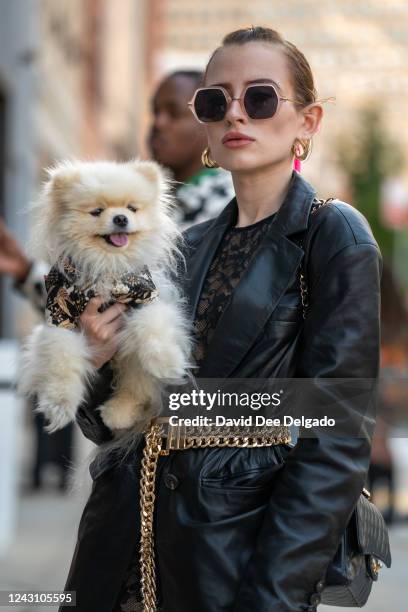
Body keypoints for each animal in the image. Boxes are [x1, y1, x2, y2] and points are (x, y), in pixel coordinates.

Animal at [21, 159, 194, 436]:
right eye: (97, 211)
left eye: (132, 208)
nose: (120, 218)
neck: (108, 267)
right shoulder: (61, 320)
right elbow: (61, 364)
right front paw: (59, 406)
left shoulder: (146, 299)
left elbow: (154, 331)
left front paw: (167, 363)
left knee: (137, 387)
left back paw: (119, 412)